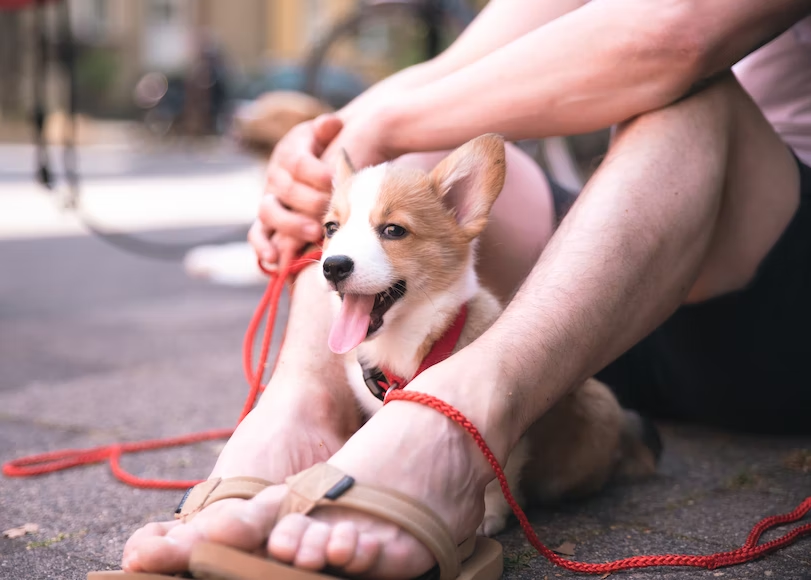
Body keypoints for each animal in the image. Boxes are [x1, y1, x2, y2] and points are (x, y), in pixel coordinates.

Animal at [318, 134, 660, 536]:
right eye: (331, 228)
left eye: (394, 230)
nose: (333, 266)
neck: (408, 344)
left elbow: (496, 475)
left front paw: (488, 517)